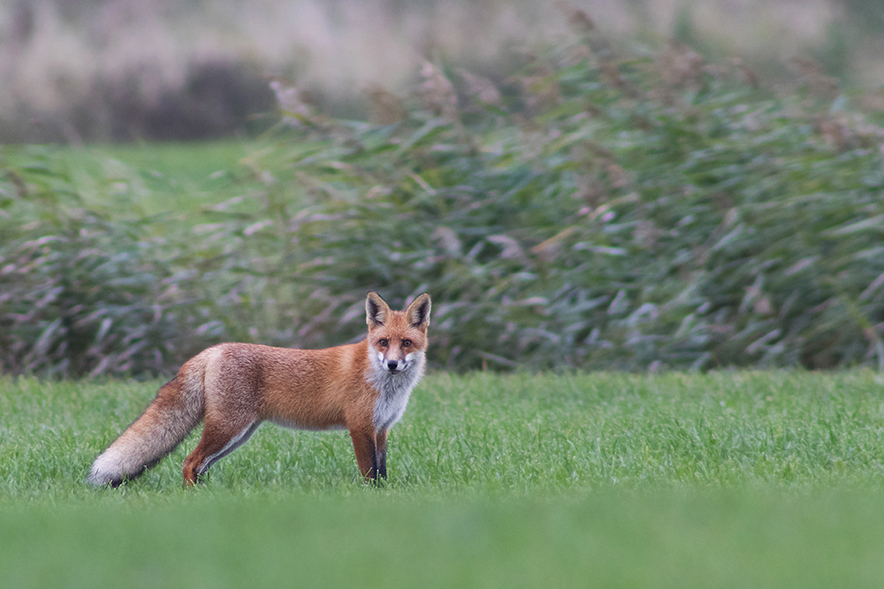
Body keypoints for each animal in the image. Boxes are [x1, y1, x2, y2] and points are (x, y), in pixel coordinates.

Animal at [88, 290, 434, 486]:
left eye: (406, 343)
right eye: (383, 342)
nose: (392, 364)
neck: (385, 384)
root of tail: (213, 349)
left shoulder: (381, 429)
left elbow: (382, 471)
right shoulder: (360, 426)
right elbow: (370, 474)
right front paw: (372, 498)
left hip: (239, 434)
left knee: (200, 466)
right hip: (228, 427)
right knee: (189, 462)